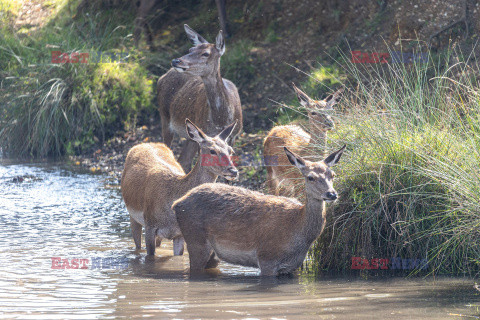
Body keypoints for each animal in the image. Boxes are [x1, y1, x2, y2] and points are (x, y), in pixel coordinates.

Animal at [121, 119, 237, 256]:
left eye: (230, 150)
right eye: (212, 151)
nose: (233, 171)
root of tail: (145, 143)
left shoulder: (179, 234)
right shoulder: (149, 225)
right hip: (133, 215)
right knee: (137, 245)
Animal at [158, 24, 242, 172]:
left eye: (206, 53)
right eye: (191, 49)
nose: (176, 60)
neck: (221, 119)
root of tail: (162, 77)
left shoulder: (234, 135)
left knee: (183, 160)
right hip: (165, 117)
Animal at [172, 145, 344, 276]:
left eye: (333, 175)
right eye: (310, 177)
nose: (331, 194)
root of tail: (177, 203)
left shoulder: (292, 267)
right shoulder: (267, 258)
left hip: (212, 253)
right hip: (196, 239)